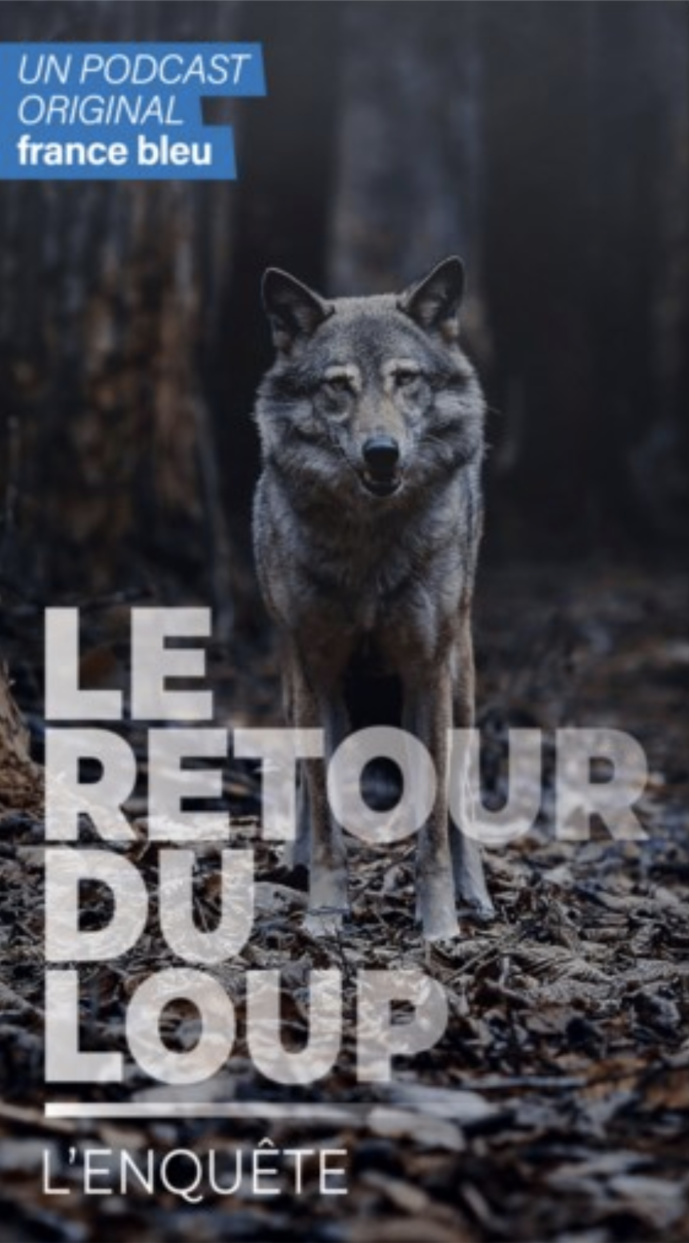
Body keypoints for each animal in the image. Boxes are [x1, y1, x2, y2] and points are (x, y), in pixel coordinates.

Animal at [252, 256, 494, 940]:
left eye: (404, 380)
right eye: (340, 386)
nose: (381, 453)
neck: (367, 545)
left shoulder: (426, 672)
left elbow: (434, 825)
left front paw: (439, 925)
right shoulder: (317, 674)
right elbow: (325, 808)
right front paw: (326, 911)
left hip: (460, 686)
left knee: (461, 800)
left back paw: (476, 894)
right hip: (294, 690)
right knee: (306, 791)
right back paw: (296, 861)